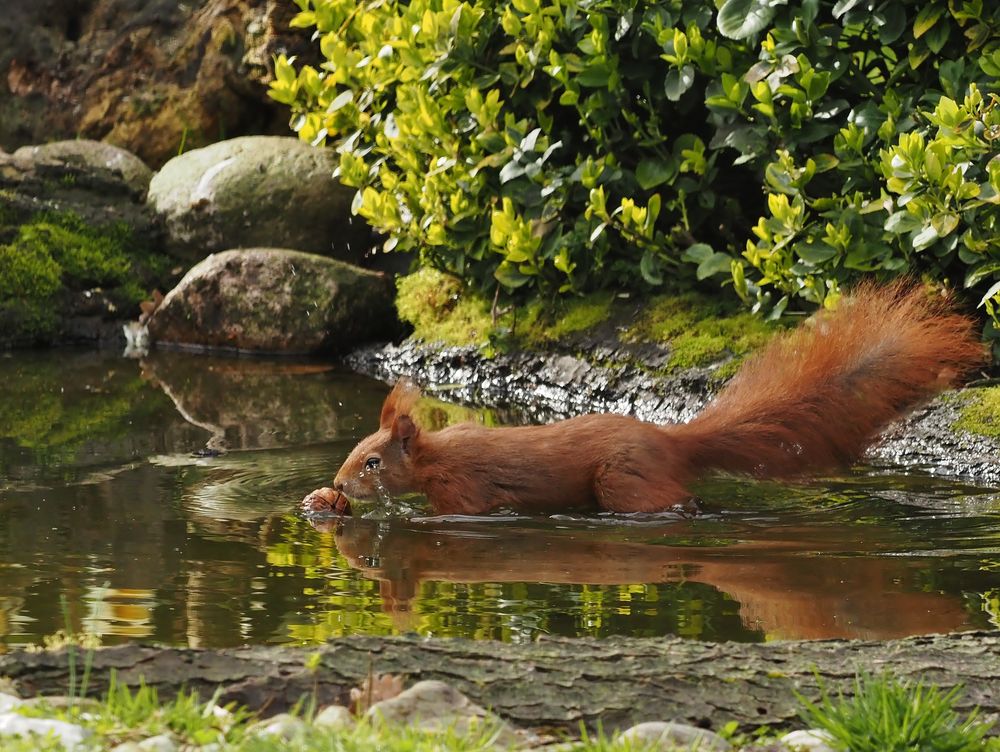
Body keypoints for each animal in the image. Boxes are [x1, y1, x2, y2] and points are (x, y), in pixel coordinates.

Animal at [308, 282, 988, 516]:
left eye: (373, 462)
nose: (339, 486)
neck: (436, 455)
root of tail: (672, 441)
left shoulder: (464, 495)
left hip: (625, 482)